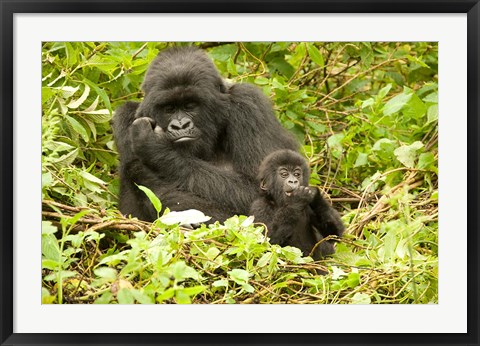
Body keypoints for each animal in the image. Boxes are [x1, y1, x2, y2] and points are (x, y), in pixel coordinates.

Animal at [114, 46, 298, 222]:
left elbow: (258, 190)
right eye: (169, 108)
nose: (180, 125)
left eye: (190, 105)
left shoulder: (249, 103)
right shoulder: (126, 115)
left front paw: (156, 146)